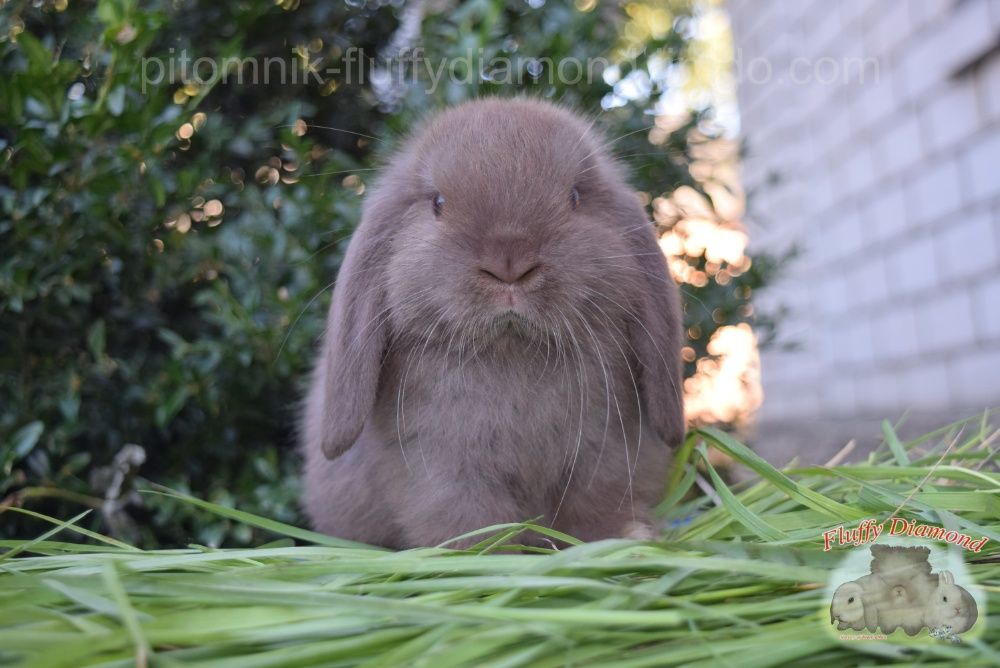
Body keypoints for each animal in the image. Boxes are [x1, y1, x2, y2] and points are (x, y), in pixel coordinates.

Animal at [298, 98, 688, 548]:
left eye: (575, 197)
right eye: (438, 203)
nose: (509, 264)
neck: (513, 350)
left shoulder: (604, 452)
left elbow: (596, 505)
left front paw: (628, 536)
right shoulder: (444, 471)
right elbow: (473, 521)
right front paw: (484, 553)